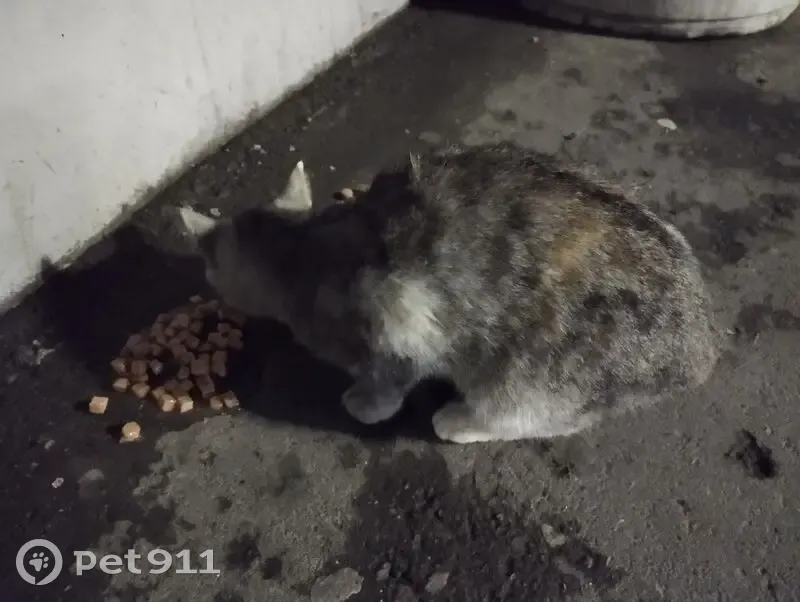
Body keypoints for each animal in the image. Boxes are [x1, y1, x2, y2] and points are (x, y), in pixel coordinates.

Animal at [178, 142, 718, 444]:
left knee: (537, 415)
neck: (302, 247)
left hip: (532, 372)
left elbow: (389, 378)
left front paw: (364, 403)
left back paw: (461, 421)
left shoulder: (398, 316)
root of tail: (700, 347)